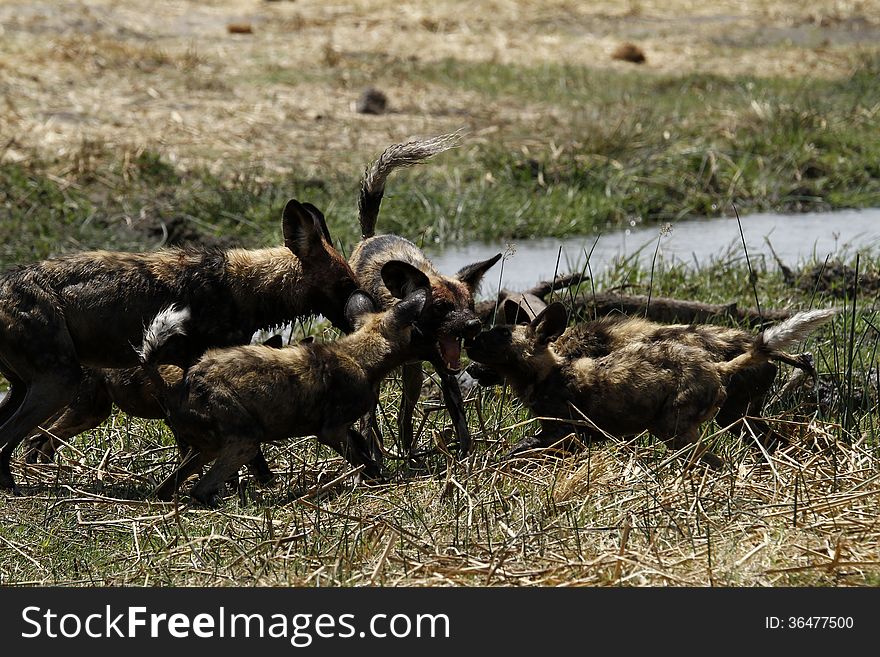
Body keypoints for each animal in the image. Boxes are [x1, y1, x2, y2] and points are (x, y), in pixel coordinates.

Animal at [0, 199, 360, 492]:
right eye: (345, 283)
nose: (361, 308)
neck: (246, 287)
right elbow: (243, 449)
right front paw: (245, 485)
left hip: (34, 391)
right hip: (60, 383)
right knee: (11, 438)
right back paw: (13, 488)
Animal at [138, 284, 436, 508]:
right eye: (419, 332)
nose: (436, 347)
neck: (360, 356)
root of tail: (177, 385)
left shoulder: (341, 428)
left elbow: (362, 446)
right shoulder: (331, 430)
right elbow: (362, 460)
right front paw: (378, 481)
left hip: (204, 450)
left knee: (166, 489)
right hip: (245, 442)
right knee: (199, 489)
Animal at [350, 136, 502, 458]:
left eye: (470, 305)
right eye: (442, 307)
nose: (473, 325)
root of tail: (370, 237)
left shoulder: (446, 373)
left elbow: (462, 425)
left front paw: (465, 461)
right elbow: (367, 423)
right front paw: (370, 461)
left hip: (415, 378)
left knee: (404, 416)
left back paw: (408, 452)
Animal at [464, 302, 836, 466]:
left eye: (498, 334)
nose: (468, 345)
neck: (549, 372)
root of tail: (718, 364)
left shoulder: (563, 436)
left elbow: (520, 448)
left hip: (674, 428)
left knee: (711, 458)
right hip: (739, 420)